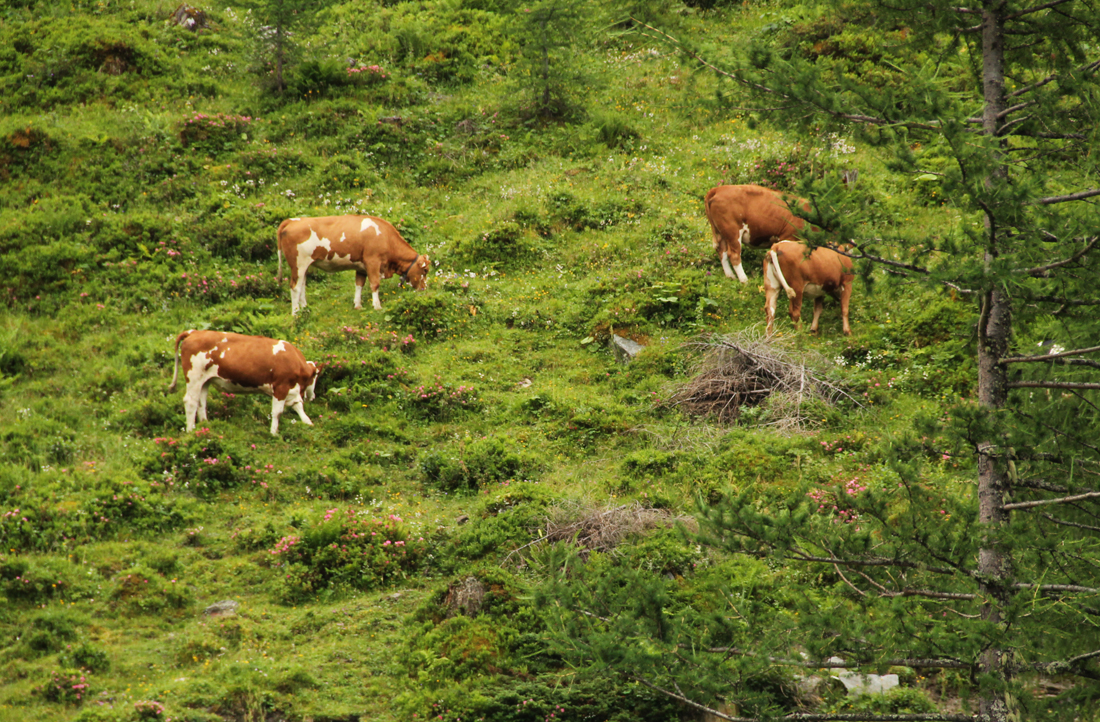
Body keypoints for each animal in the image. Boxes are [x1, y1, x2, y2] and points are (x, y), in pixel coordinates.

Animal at [167, 332, 321, 438]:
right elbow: (277, 412)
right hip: (194, 377)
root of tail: (193, 332)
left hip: (204, 381)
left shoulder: (291, 390)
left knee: (201, 402)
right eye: (315, 376)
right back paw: (191, 431)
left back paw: (206, 426)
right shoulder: (281, 387)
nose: (313, 396)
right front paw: (274, 433)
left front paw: (308, 423)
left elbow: (298, 406)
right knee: (190, 401)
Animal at [275, 214, 429, 316]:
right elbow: (375, 284)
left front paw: (358, 305)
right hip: (298, 264)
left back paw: (305, 309)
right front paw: (377, 306)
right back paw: (296, 314)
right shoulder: (373, 261)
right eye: (425, 270)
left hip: (305, 265)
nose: (424, 289)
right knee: (295, 287)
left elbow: (359, 284)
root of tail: (292, 220)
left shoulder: (362, 267)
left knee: (302, 286)